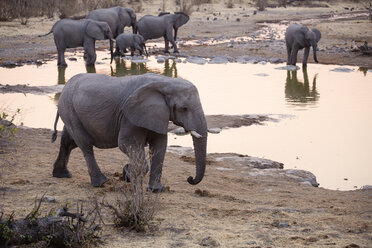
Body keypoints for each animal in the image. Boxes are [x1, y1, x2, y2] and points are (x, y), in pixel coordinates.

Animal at [52, 72, 208, 192]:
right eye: (184, 108)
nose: (190, 178)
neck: (166, 81)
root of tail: (65, 86)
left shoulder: (158, 114)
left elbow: (160, 146)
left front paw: (156, 190)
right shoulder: (128, 116)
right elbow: (126, 143)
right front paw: (129, 173)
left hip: (71, 111)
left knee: (69, 142)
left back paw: (61, 175)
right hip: (69, 109)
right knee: (85, 144)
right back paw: (101, 183)